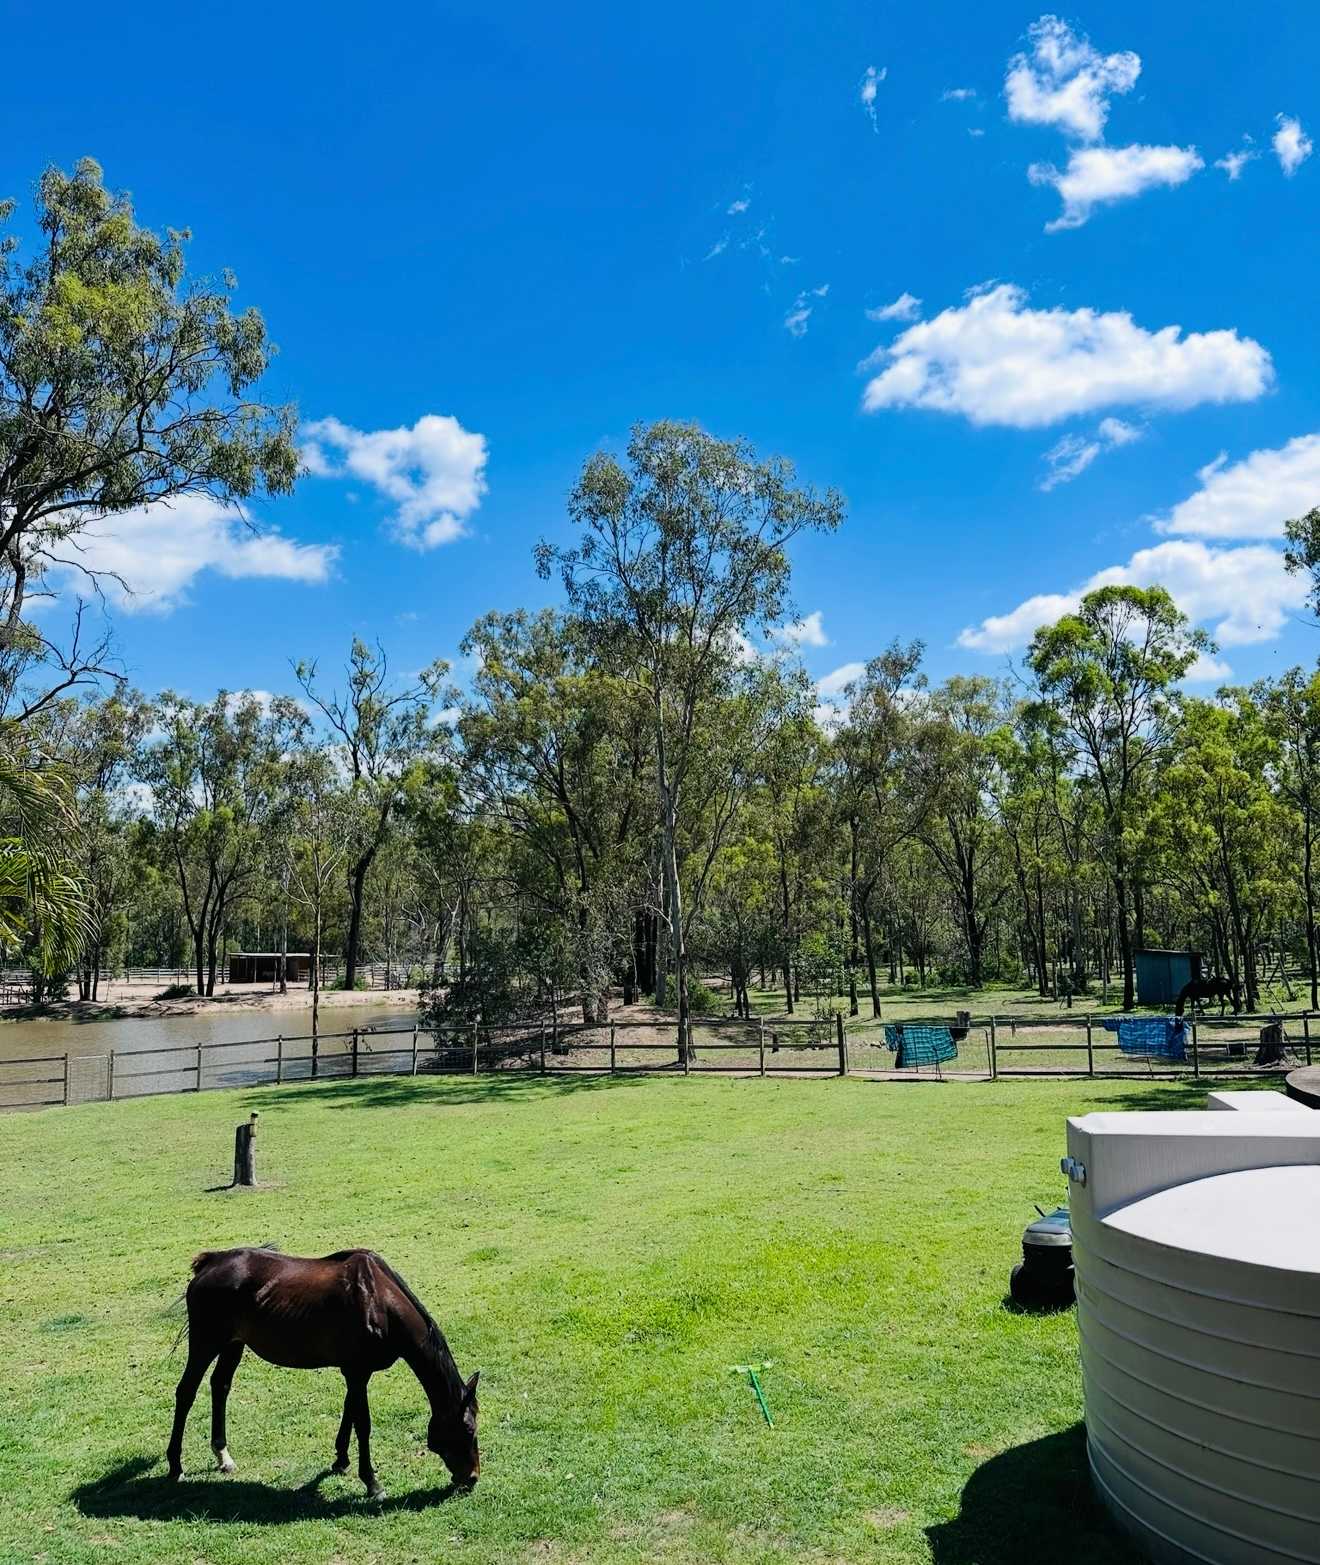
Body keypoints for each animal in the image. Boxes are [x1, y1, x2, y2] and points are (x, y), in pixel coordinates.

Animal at [166, 1247, 479, 1499]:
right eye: (468, 1429)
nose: (473, 1477)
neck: (378, 1301)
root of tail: (210, 1262)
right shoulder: (356, 1371)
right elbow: (362, 1424)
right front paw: (372, 1483)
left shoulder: (356, 1373)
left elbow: (349, 1412)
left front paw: (341, 1460)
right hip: (206, 1342)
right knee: (186, 1393)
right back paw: (175, 1466)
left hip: (233, 1344)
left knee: (220, 1386)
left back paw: (223, 1456)